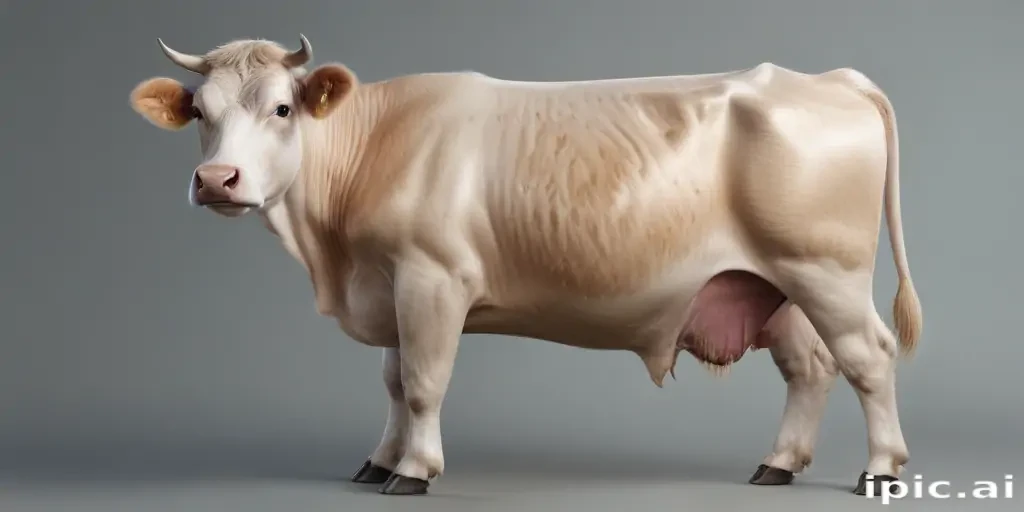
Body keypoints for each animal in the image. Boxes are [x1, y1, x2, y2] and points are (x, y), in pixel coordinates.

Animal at [128, 35, 923, 496]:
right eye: (201, 112)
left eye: (284, 108)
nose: (217, 180)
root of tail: (827, 78)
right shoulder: (388, 283)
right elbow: (391, 381)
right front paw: (378, 460)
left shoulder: (431, 277)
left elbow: (423, 383)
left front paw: (412, 471)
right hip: (772, 283)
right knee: (810, 369)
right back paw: (778, 464)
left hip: (824, 270)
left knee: (869, 358)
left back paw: (879, 469)